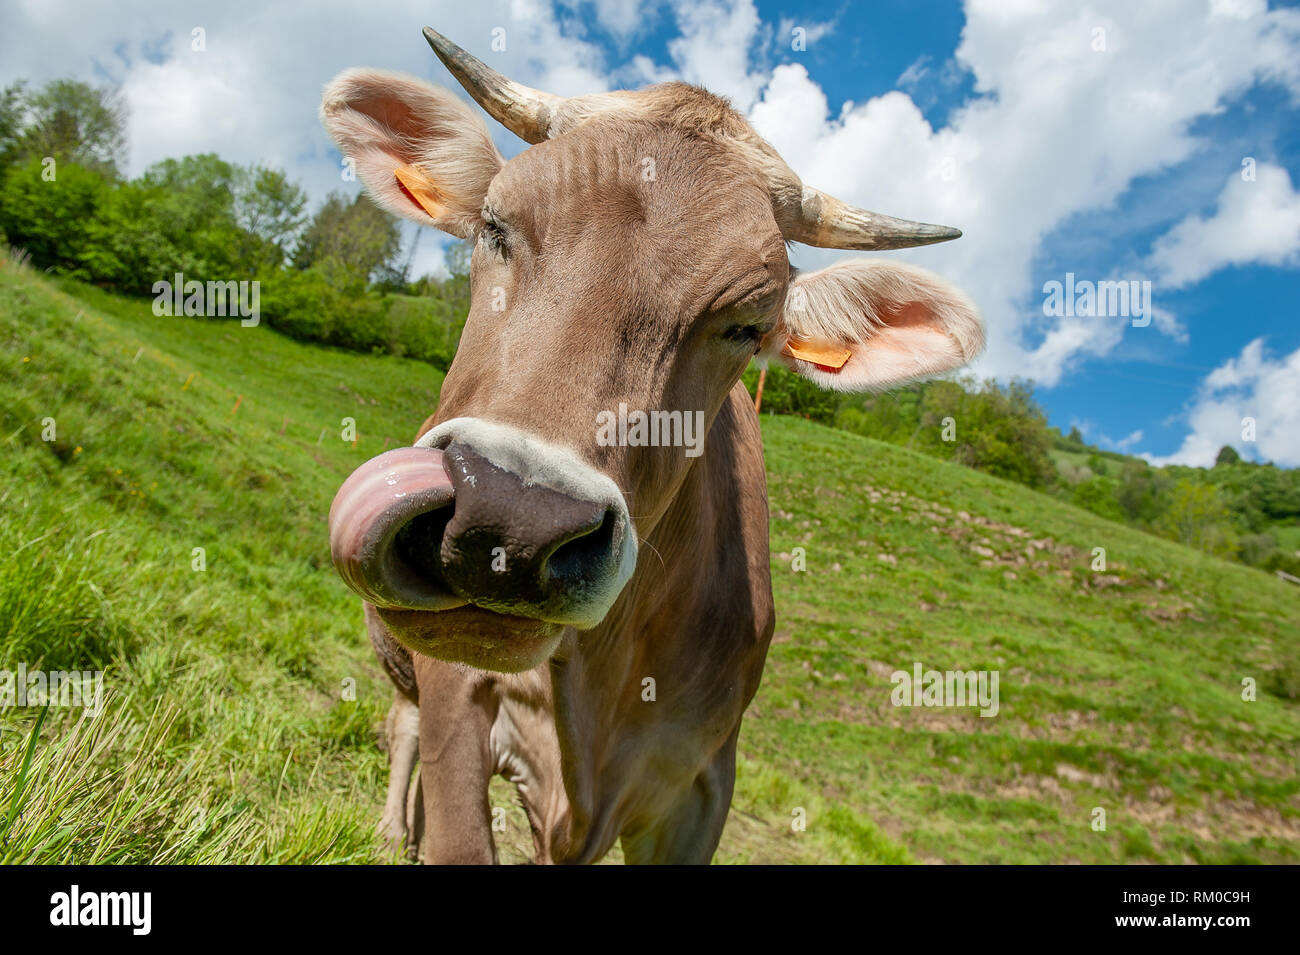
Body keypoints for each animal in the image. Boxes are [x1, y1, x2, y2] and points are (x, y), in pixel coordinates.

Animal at [319, 27, 977, 867]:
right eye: (495, 225)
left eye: (751, 324)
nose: (509, 521)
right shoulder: (456, 697)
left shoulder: (700, 782)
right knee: (399, 724)